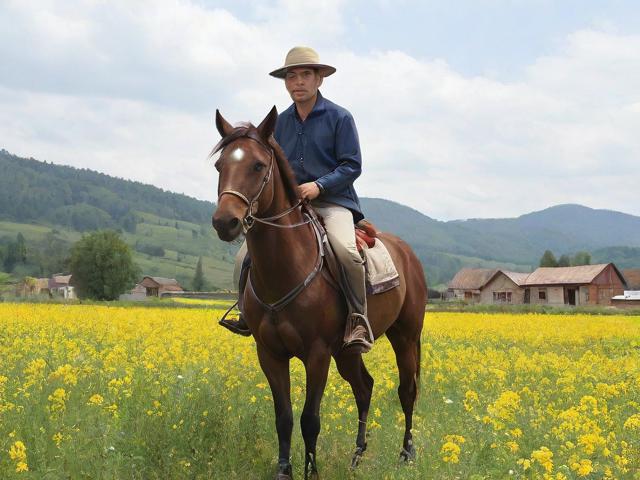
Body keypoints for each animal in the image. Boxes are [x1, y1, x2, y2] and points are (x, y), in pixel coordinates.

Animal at [211, 107, 427, 480]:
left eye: (257, 166)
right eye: (219, 165)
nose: (226, 222)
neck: (285, 268)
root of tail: (408, 253)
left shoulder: (317, 353)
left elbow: (310, 419)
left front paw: (311, 471)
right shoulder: (270, 353)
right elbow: (283, 418)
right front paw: (284, 471)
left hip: (405, 336)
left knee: (406, 390)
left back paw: (406, 453)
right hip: (348, 350)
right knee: (364, 387)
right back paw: (357, 456)